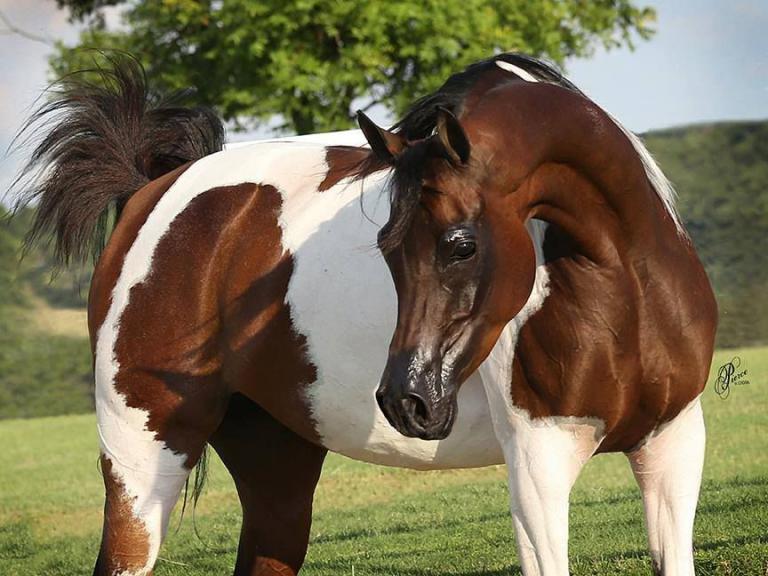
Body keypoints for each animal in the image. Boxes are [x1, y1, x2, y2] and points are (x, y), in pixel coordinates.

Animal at [14, 53, 717, 576]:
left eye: (459, 243)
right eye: (384, 245)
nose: (407, 401)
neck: (626, 292)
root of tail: (153, 191)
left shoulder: (673, 445)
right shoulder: (539, 466)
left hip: (277, 470)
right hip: (141, 460)